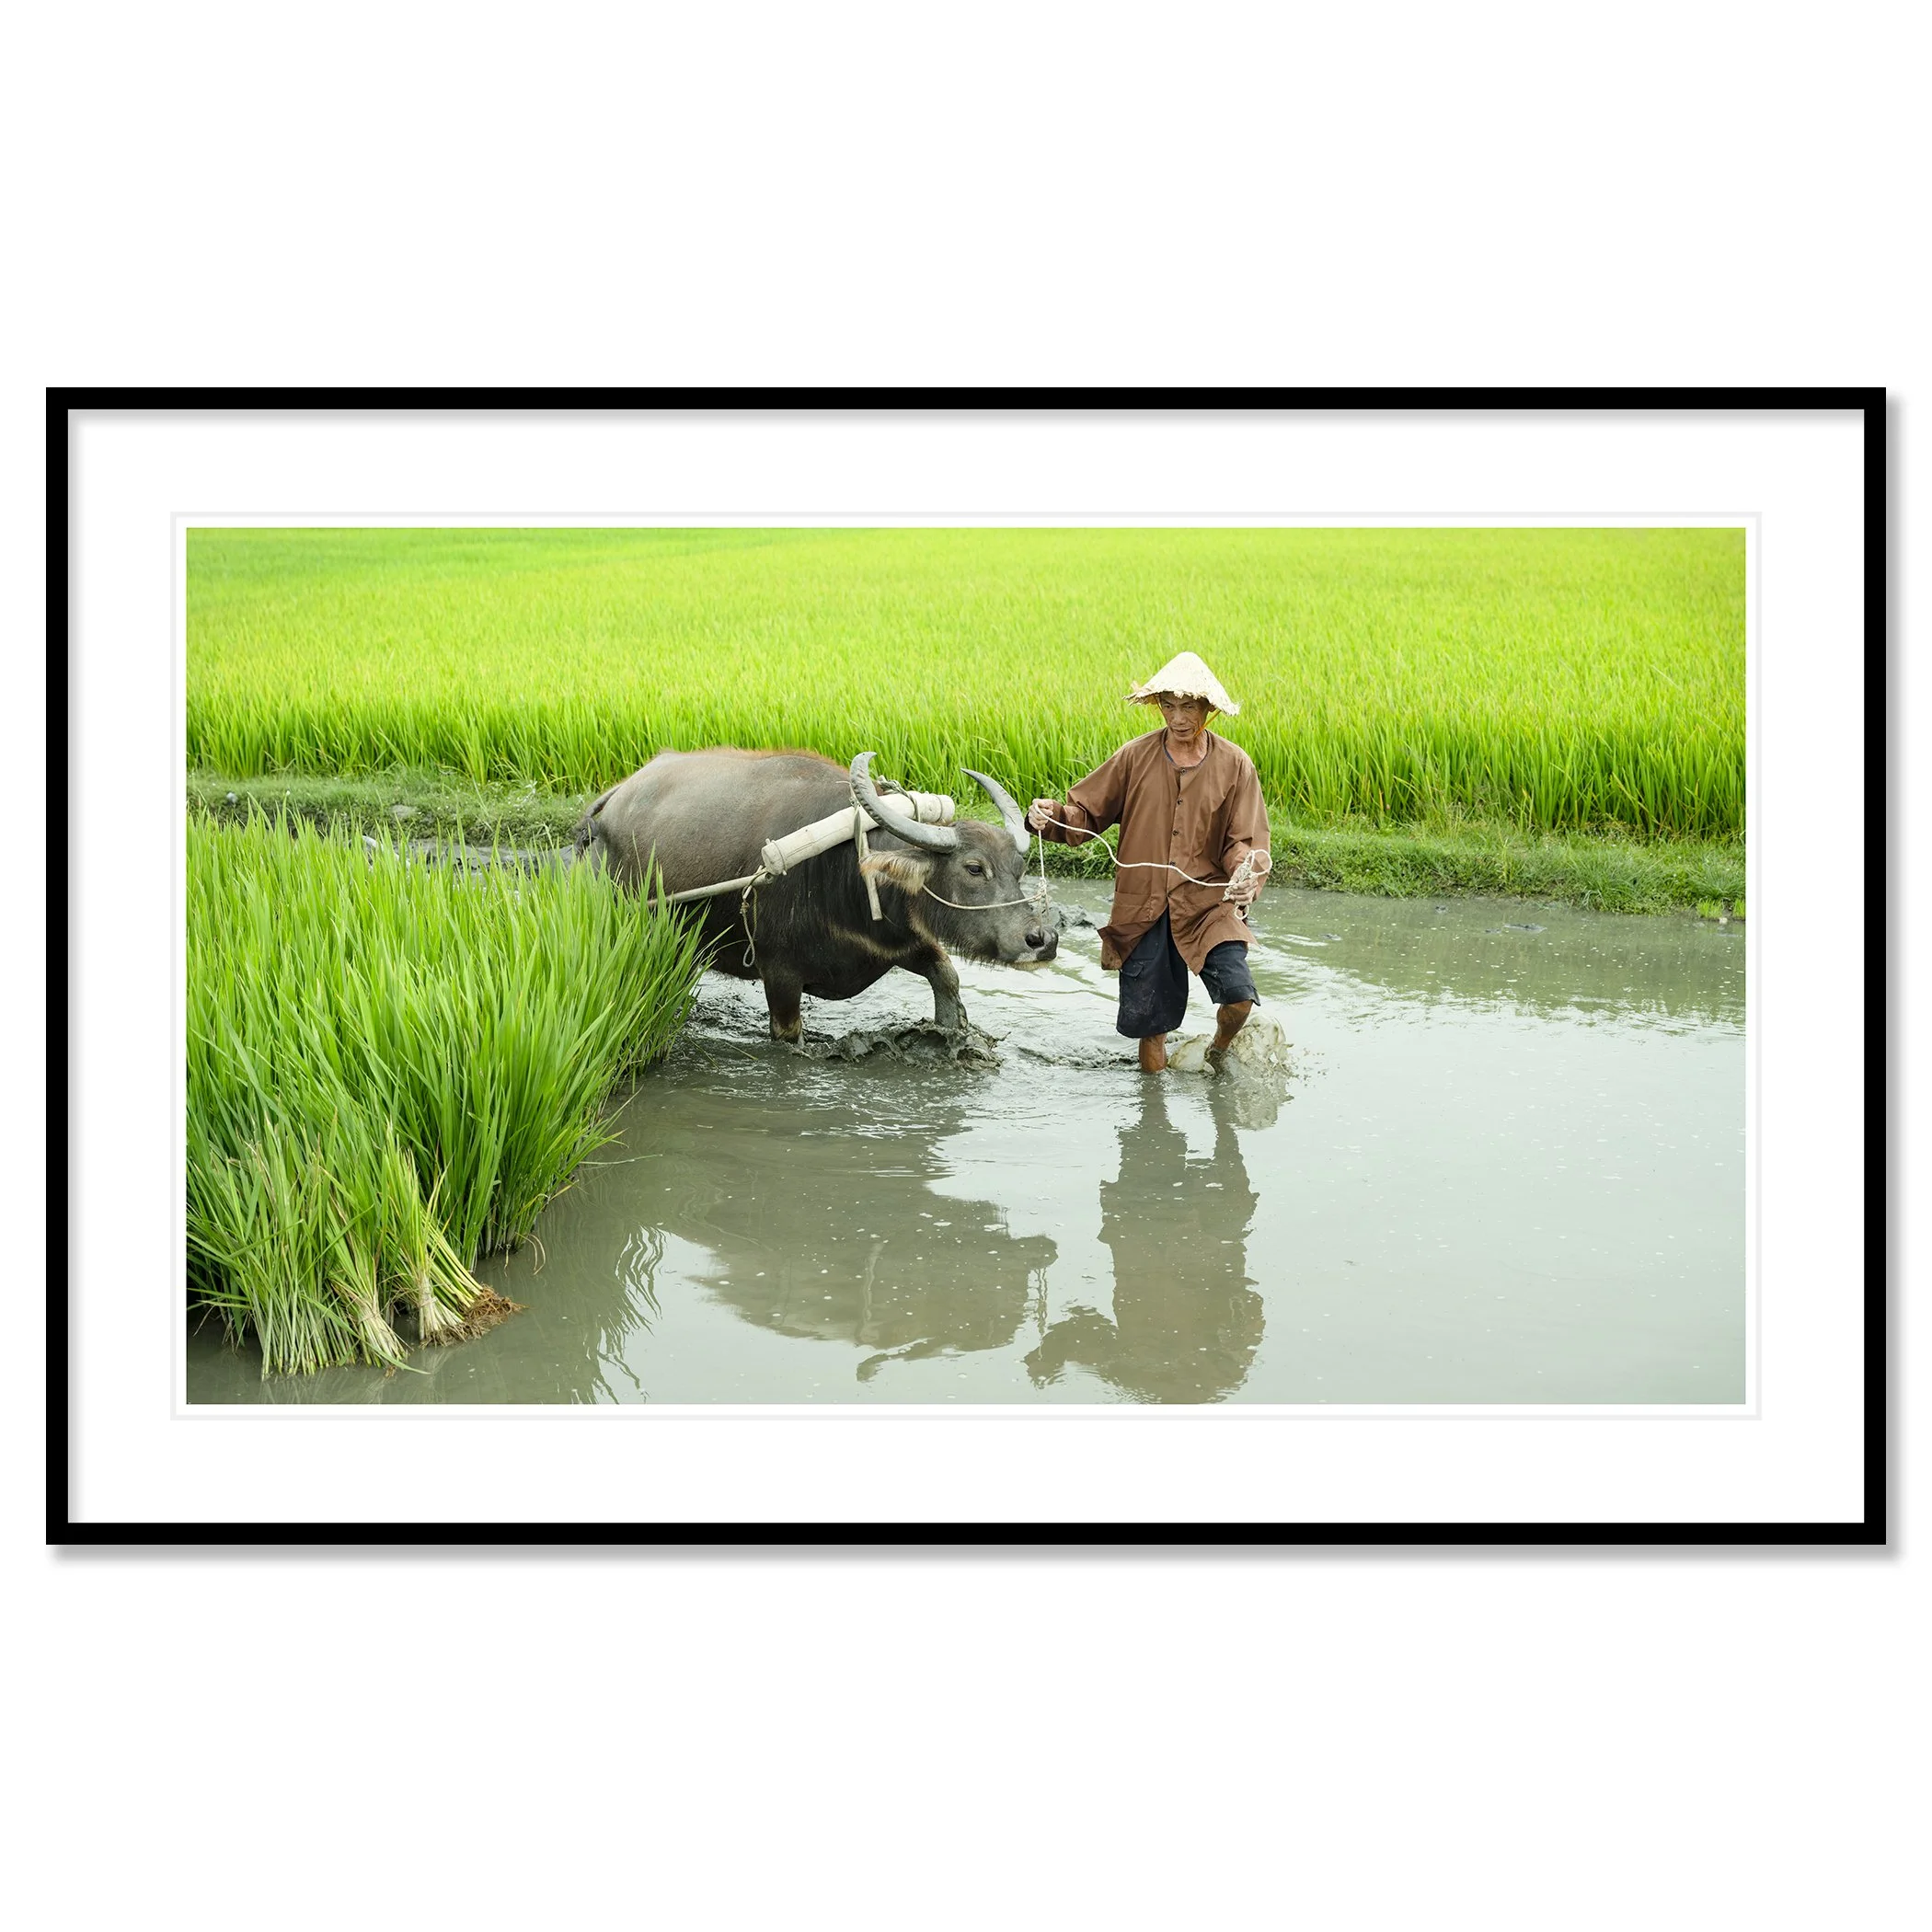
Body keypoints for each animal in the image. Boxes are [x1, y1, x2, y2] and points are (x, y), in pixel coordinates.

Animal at [576, 749, 1057, 1040]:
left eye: (1019, 870)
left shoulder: (901, 941)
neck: (847, 876)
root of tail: (614, 797)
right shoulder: (780, 975)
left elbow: (947, 978)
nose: (1042, 940)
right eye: (974, 868)